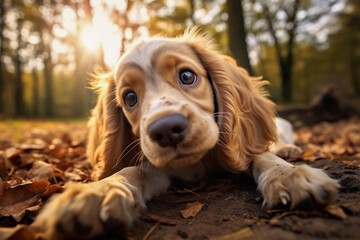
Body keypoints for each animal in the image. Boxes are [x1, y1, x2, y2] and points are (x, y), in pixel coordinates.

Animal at [34, 29, 340, 239]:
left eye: (187, 76)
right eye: (130, 98)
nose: (166, 130)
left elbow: (261, 156)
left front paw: (289, 175)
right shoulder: (159, 170)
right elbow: (131, 171)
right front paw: (97, 193)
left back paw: (288, 150)